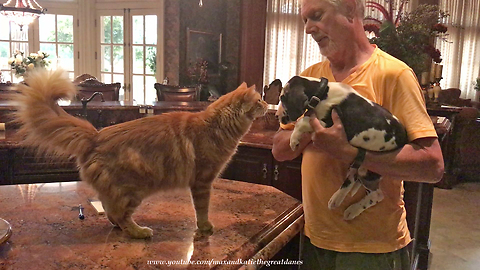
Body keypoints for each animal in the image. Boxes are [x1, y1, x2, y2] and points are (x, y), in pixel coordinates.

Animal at [14, 69, 270, 238]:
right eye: (259, 100)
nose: (269, 106)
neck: (216, 124)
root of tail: (96, 135)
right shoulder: (202, 181)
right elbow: (202, 209)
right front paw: (205, 227)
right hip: (135, 188)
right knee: (121, 216)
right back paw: (140, 232)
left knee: (111, 211)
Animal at [276, 76, 406, 219]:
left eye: (282, 97)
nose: (277, 116)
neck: (323, 93)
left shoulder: (327, 125)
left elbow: (302, 122)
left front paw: (294, 140)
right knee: (353, 179)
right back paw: (337, 199)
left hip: (368, 171)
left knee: (377, 195)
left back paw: (352, 209)